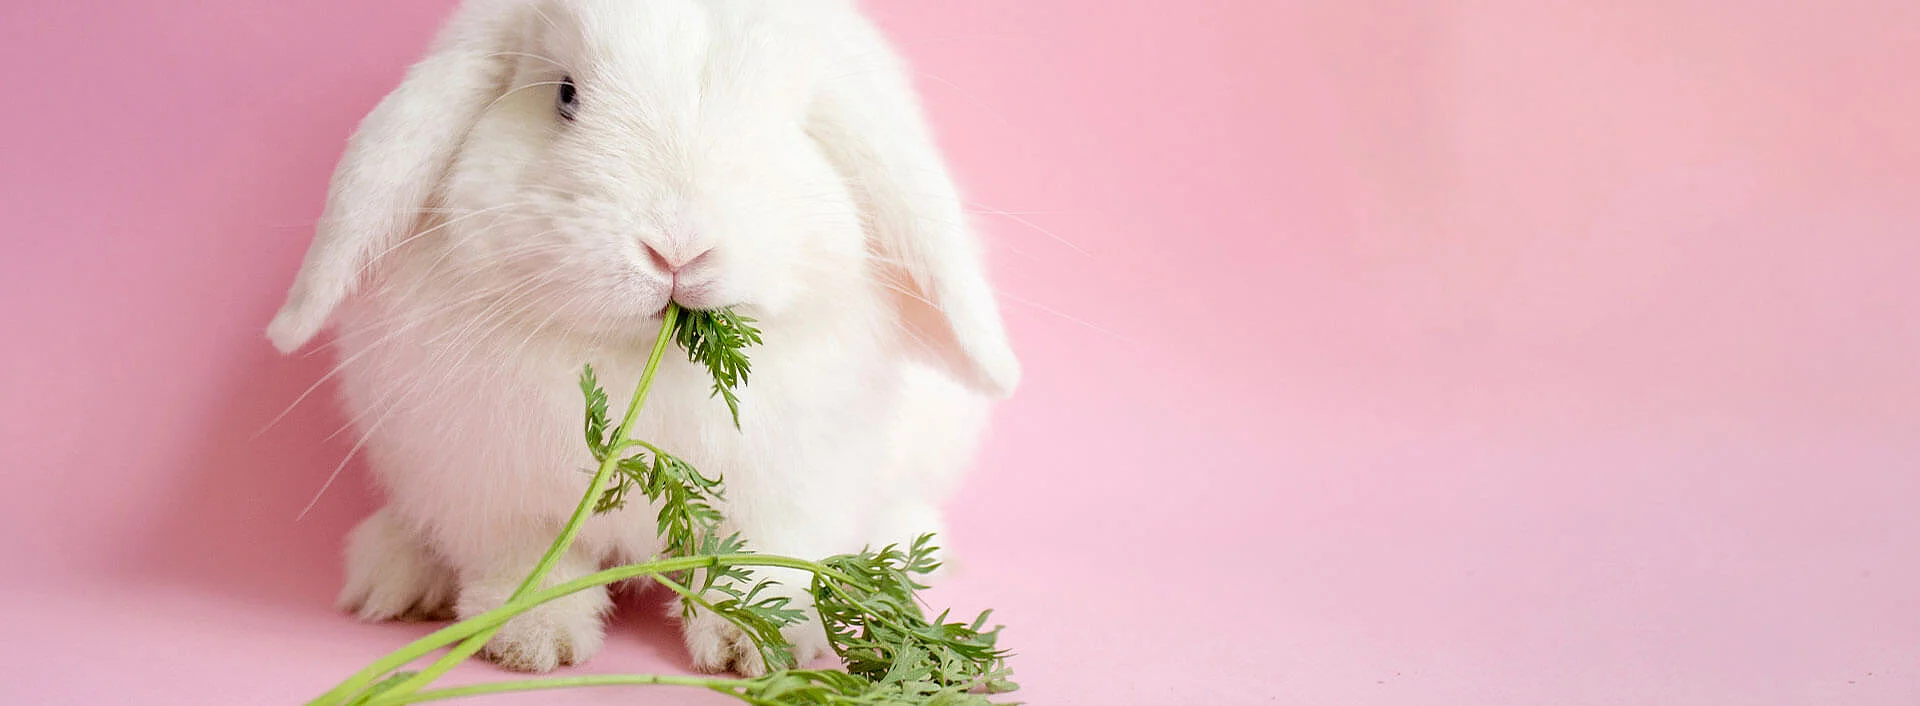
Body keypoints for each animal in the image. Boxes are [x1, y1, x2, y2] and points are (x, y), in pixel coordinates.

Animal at [268, 0, 1020, 676]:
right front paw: (535, 639)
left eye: (787, 119)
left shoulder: (795, 488)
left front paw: (754, 645)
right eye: (565, 96)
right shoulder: (493, 492)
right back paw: (392, 575)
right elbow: (529, 565)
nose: (677, 250)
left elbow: (767, 563)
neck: (648, 366)